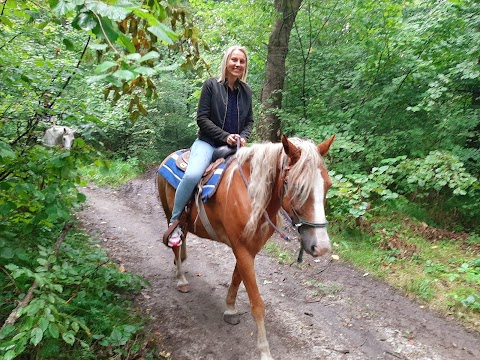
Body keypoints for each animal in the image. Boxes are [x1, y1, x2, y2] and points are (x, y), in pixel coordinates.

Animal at [157, 135, 334, 360]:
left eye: (327, 185)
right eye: (297, 187)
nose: (321, 246)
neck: (252, 196)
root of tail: (168, 157)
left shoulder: (249, 249)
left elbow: (236, 277)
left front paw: (230, 309)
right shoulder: (242, 249)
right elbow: (257, 304)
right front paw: (265, 351)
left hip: (186, 222)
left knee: (182, 240)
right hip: (170, 213)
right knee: (175, 241)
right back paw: (181, 279)